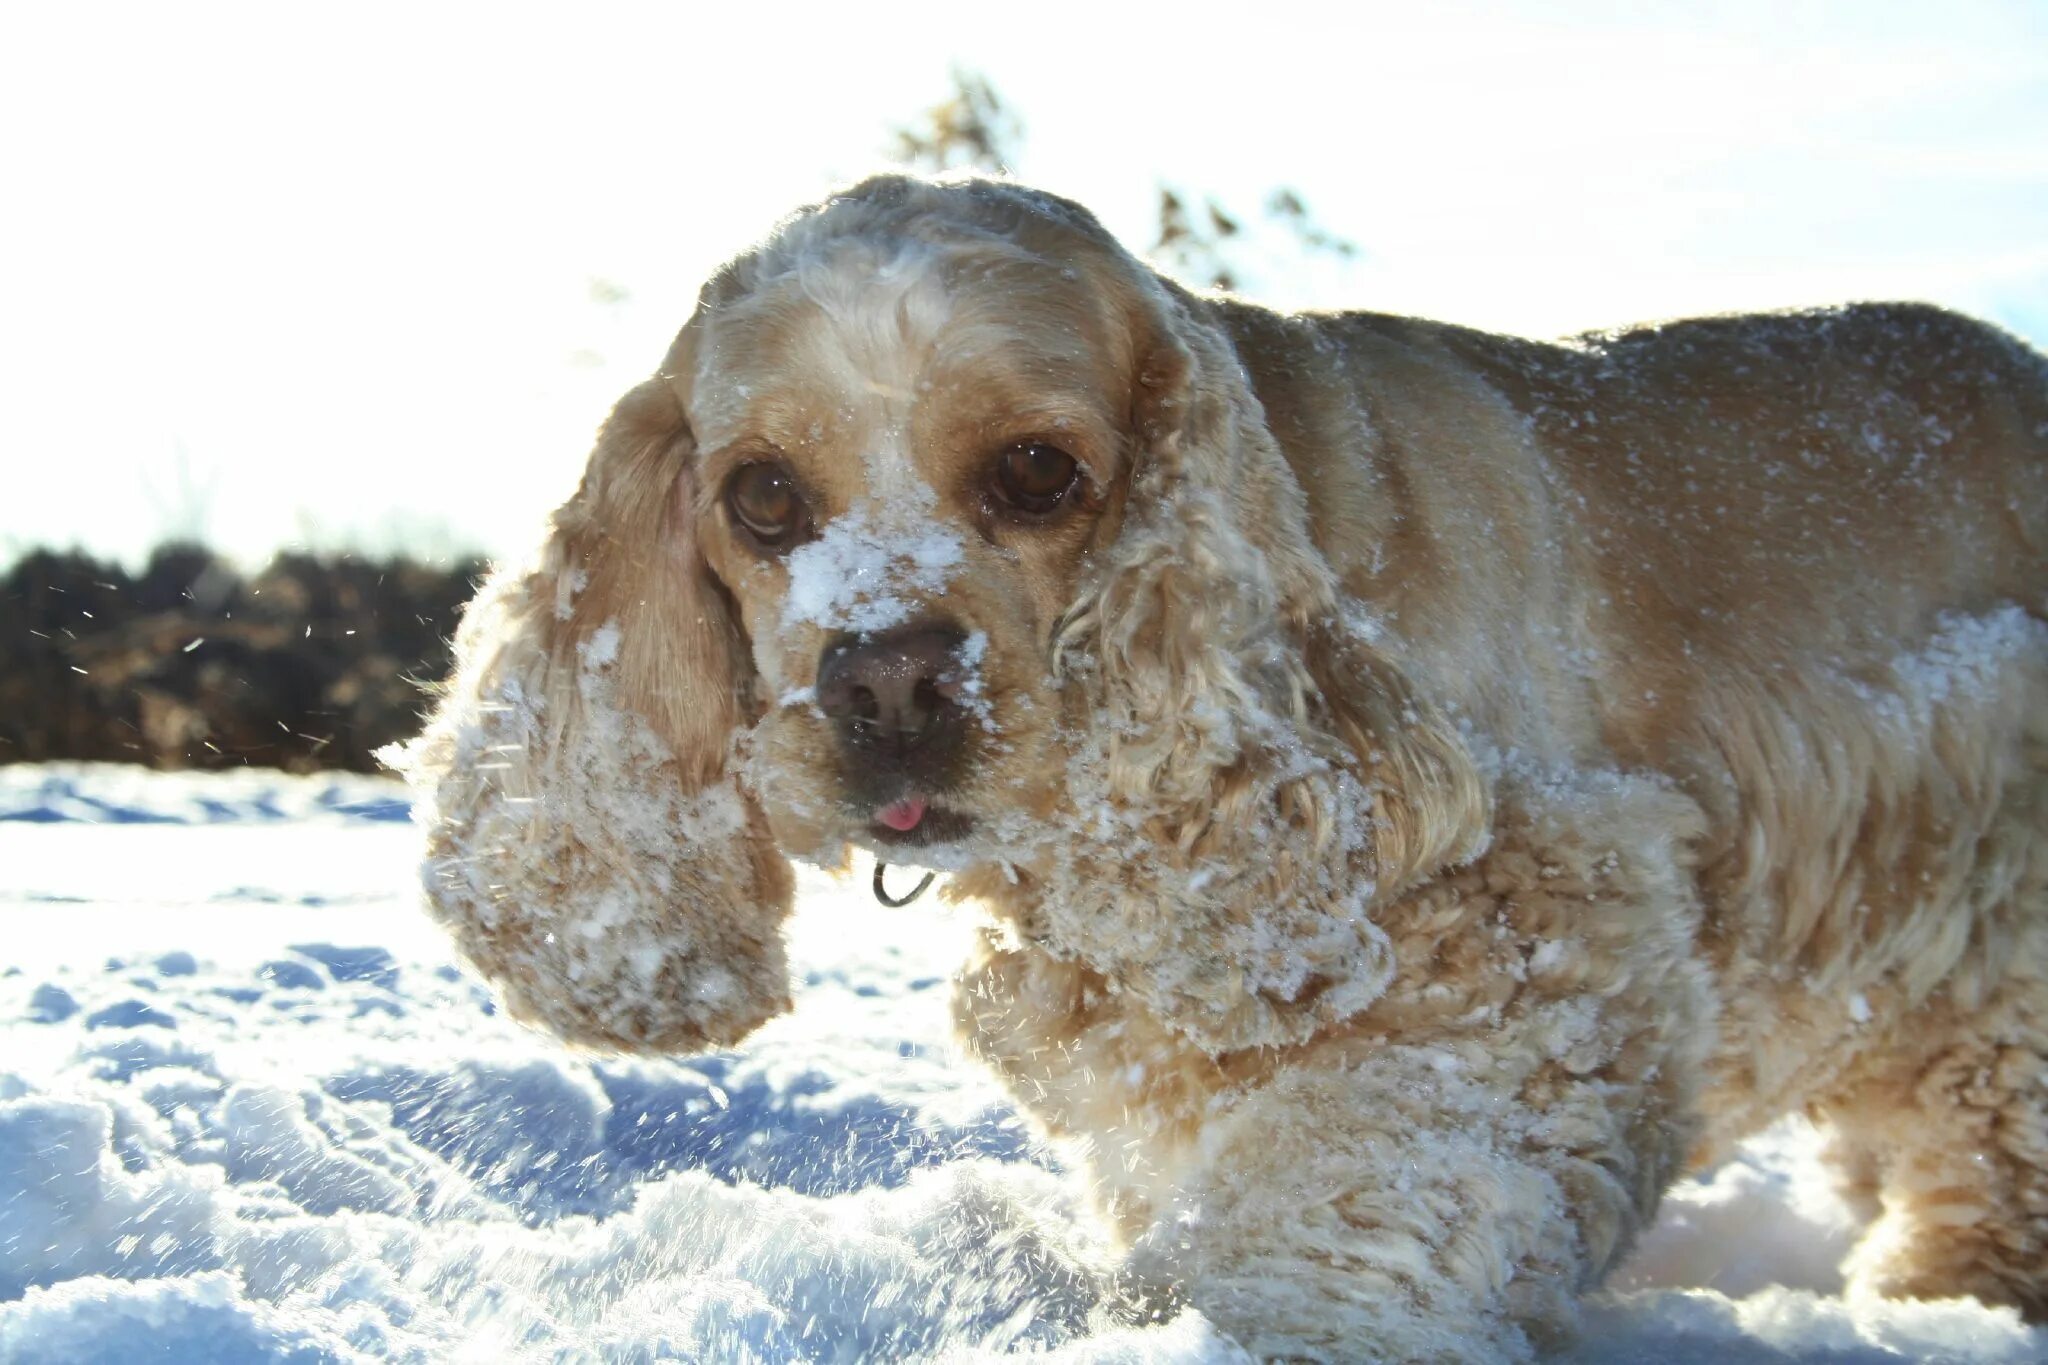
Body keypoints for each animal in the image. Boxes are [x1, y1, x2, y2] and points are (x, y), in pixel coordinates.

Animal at [395, 173, 2048, 1358]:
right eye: (759, 496)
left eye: (1039, 471)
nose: (886, 677)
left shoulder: (1527, 947)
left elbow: (1337, 1192)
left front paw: (1223, 1324)